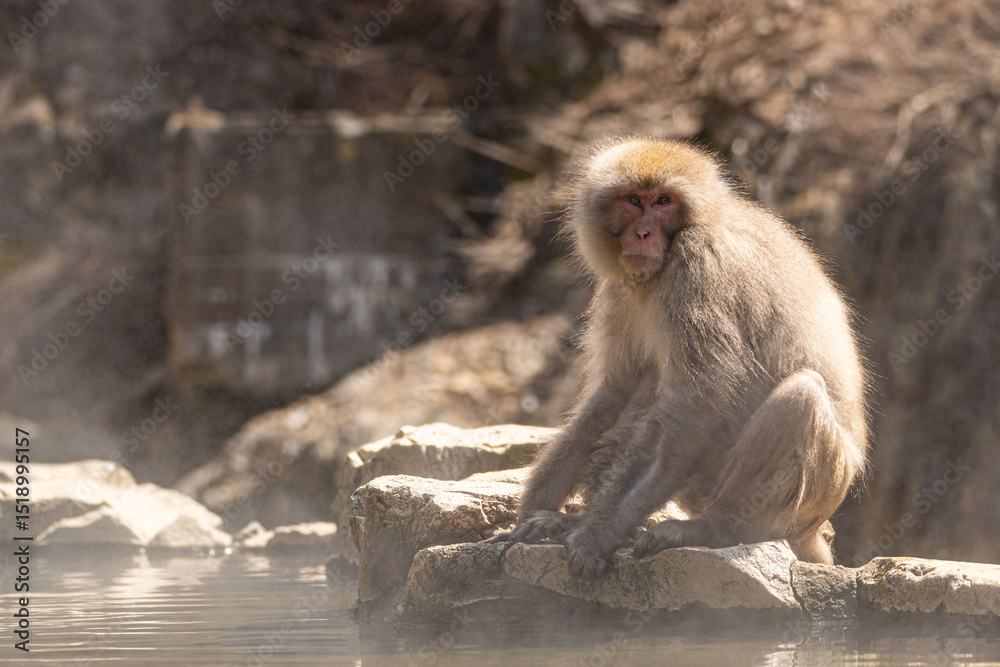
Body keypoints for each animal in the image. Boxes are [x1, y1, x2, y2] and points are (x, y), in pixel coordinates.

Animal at [485, 137, 867, 580]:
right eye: (634, 201)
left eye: (663, 201)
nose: (643, 232)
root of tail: (815, 531)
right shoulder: (620, 290)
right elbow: (614, 392)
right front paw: (534, 517)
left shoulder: (699, 266)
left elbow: (695, 409)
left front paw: (595, 536)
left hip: (811, 494)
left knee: (800, 396)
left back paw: (712, 529)